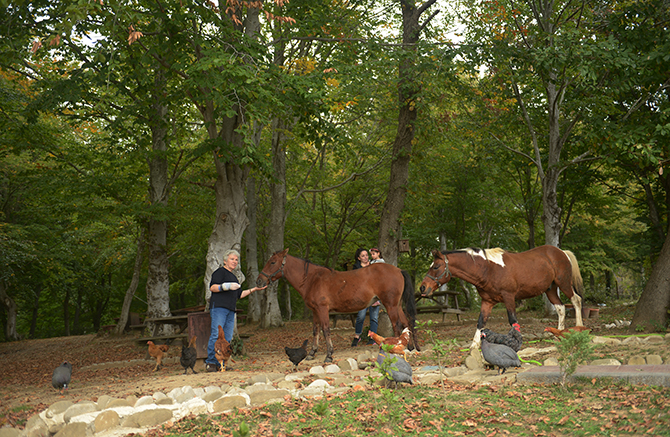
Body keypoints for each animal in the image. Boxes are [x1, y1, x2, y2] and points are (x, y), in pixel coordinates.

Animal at [256, 249, 418, 362]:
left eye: (272, 262)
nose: (259, 281)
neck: (312, 280)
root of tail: (398, 270)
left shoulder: (322, 310)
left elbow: (326, 330)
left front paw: (329, 355)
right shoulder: (315, 311)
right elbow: (315, 330)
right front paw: (312, 353)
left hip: (391, 305)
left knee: (397, 325)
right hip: (397, 305)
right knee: (406, 323)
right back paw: (410, 347)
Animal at [422, 245, 584, 348]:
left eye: (436, 266)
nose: (423, 287)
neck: (488, 269)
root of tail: (562, 252)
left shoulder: (509, 298)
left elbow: (513, 321)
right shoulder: (487, 302)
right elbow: (480, 323)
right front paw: (473, 350)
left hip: (563, 283)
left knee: (576, 300)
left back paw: (579, 328)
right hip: (550, 289)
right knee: (561, 308)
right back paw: (558, 335)